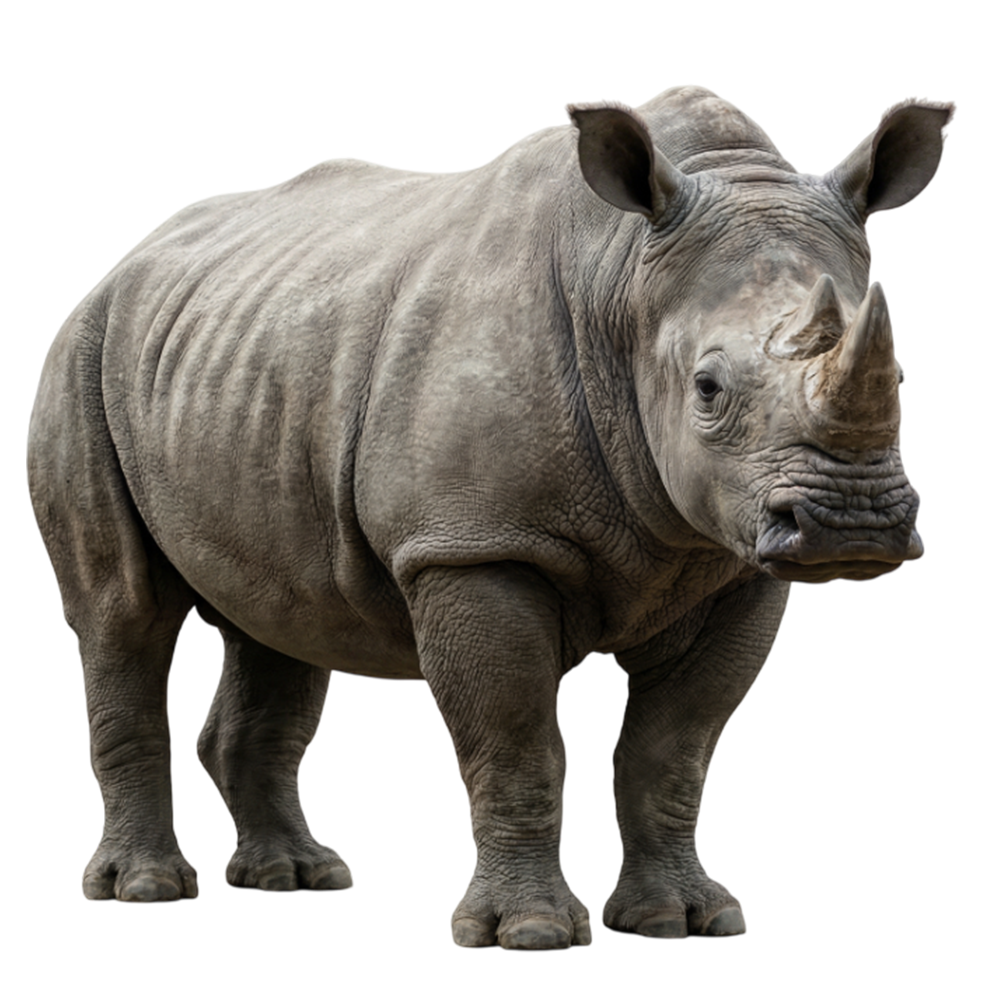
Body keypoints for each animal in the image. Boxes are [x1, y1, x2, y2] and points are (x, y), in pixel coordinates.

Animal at [27, 85, 954, 950]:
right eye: (708, 389)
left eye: (904, 377)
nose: (849, 526)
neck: (624, 278)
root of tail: (126, 264)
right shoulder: (472, 546)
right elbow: (514, 742)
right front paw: (531, 933)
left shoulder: (733, 565)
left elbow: (672, 750)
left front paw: (680, 922)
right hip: (84, 356)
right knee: (127, 612)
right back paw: (147, 890)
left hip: (246, 353)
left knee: (281, 614)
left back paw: (296, 877)